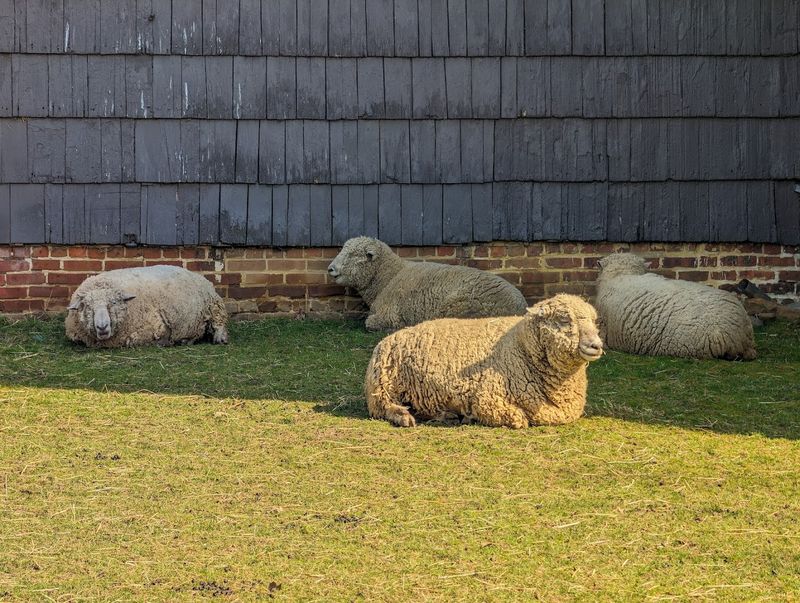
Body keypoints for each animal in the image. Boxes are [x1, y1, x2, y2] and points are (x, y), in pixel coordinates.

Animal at [65, 265, 229, 348]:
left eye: (113, 303)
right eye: (87, 307)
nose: (102, 326)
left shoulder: (155, 326)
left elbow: (134, 340)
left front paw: (162, 342)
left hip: (214, 306)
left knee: (219, 323)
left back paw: (219, 338)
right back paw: (186, 340)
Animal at [327, 237, 528, 330]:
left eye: (353, 255)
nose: (330, 269)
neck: (388, 277)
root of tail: (521, 307)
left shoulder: (389, 315)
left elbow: (370, 323)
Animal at [364, 294, 604, 428]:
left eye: (594, 321)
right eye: (564, 320)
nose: (596, 345)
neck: (520, 346)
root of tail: (388, 338)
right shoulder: (487, 398)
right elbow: (518, 419)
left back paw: (448, 415)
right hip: (384, 386)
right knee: (383, 407)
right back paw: (404, 417)